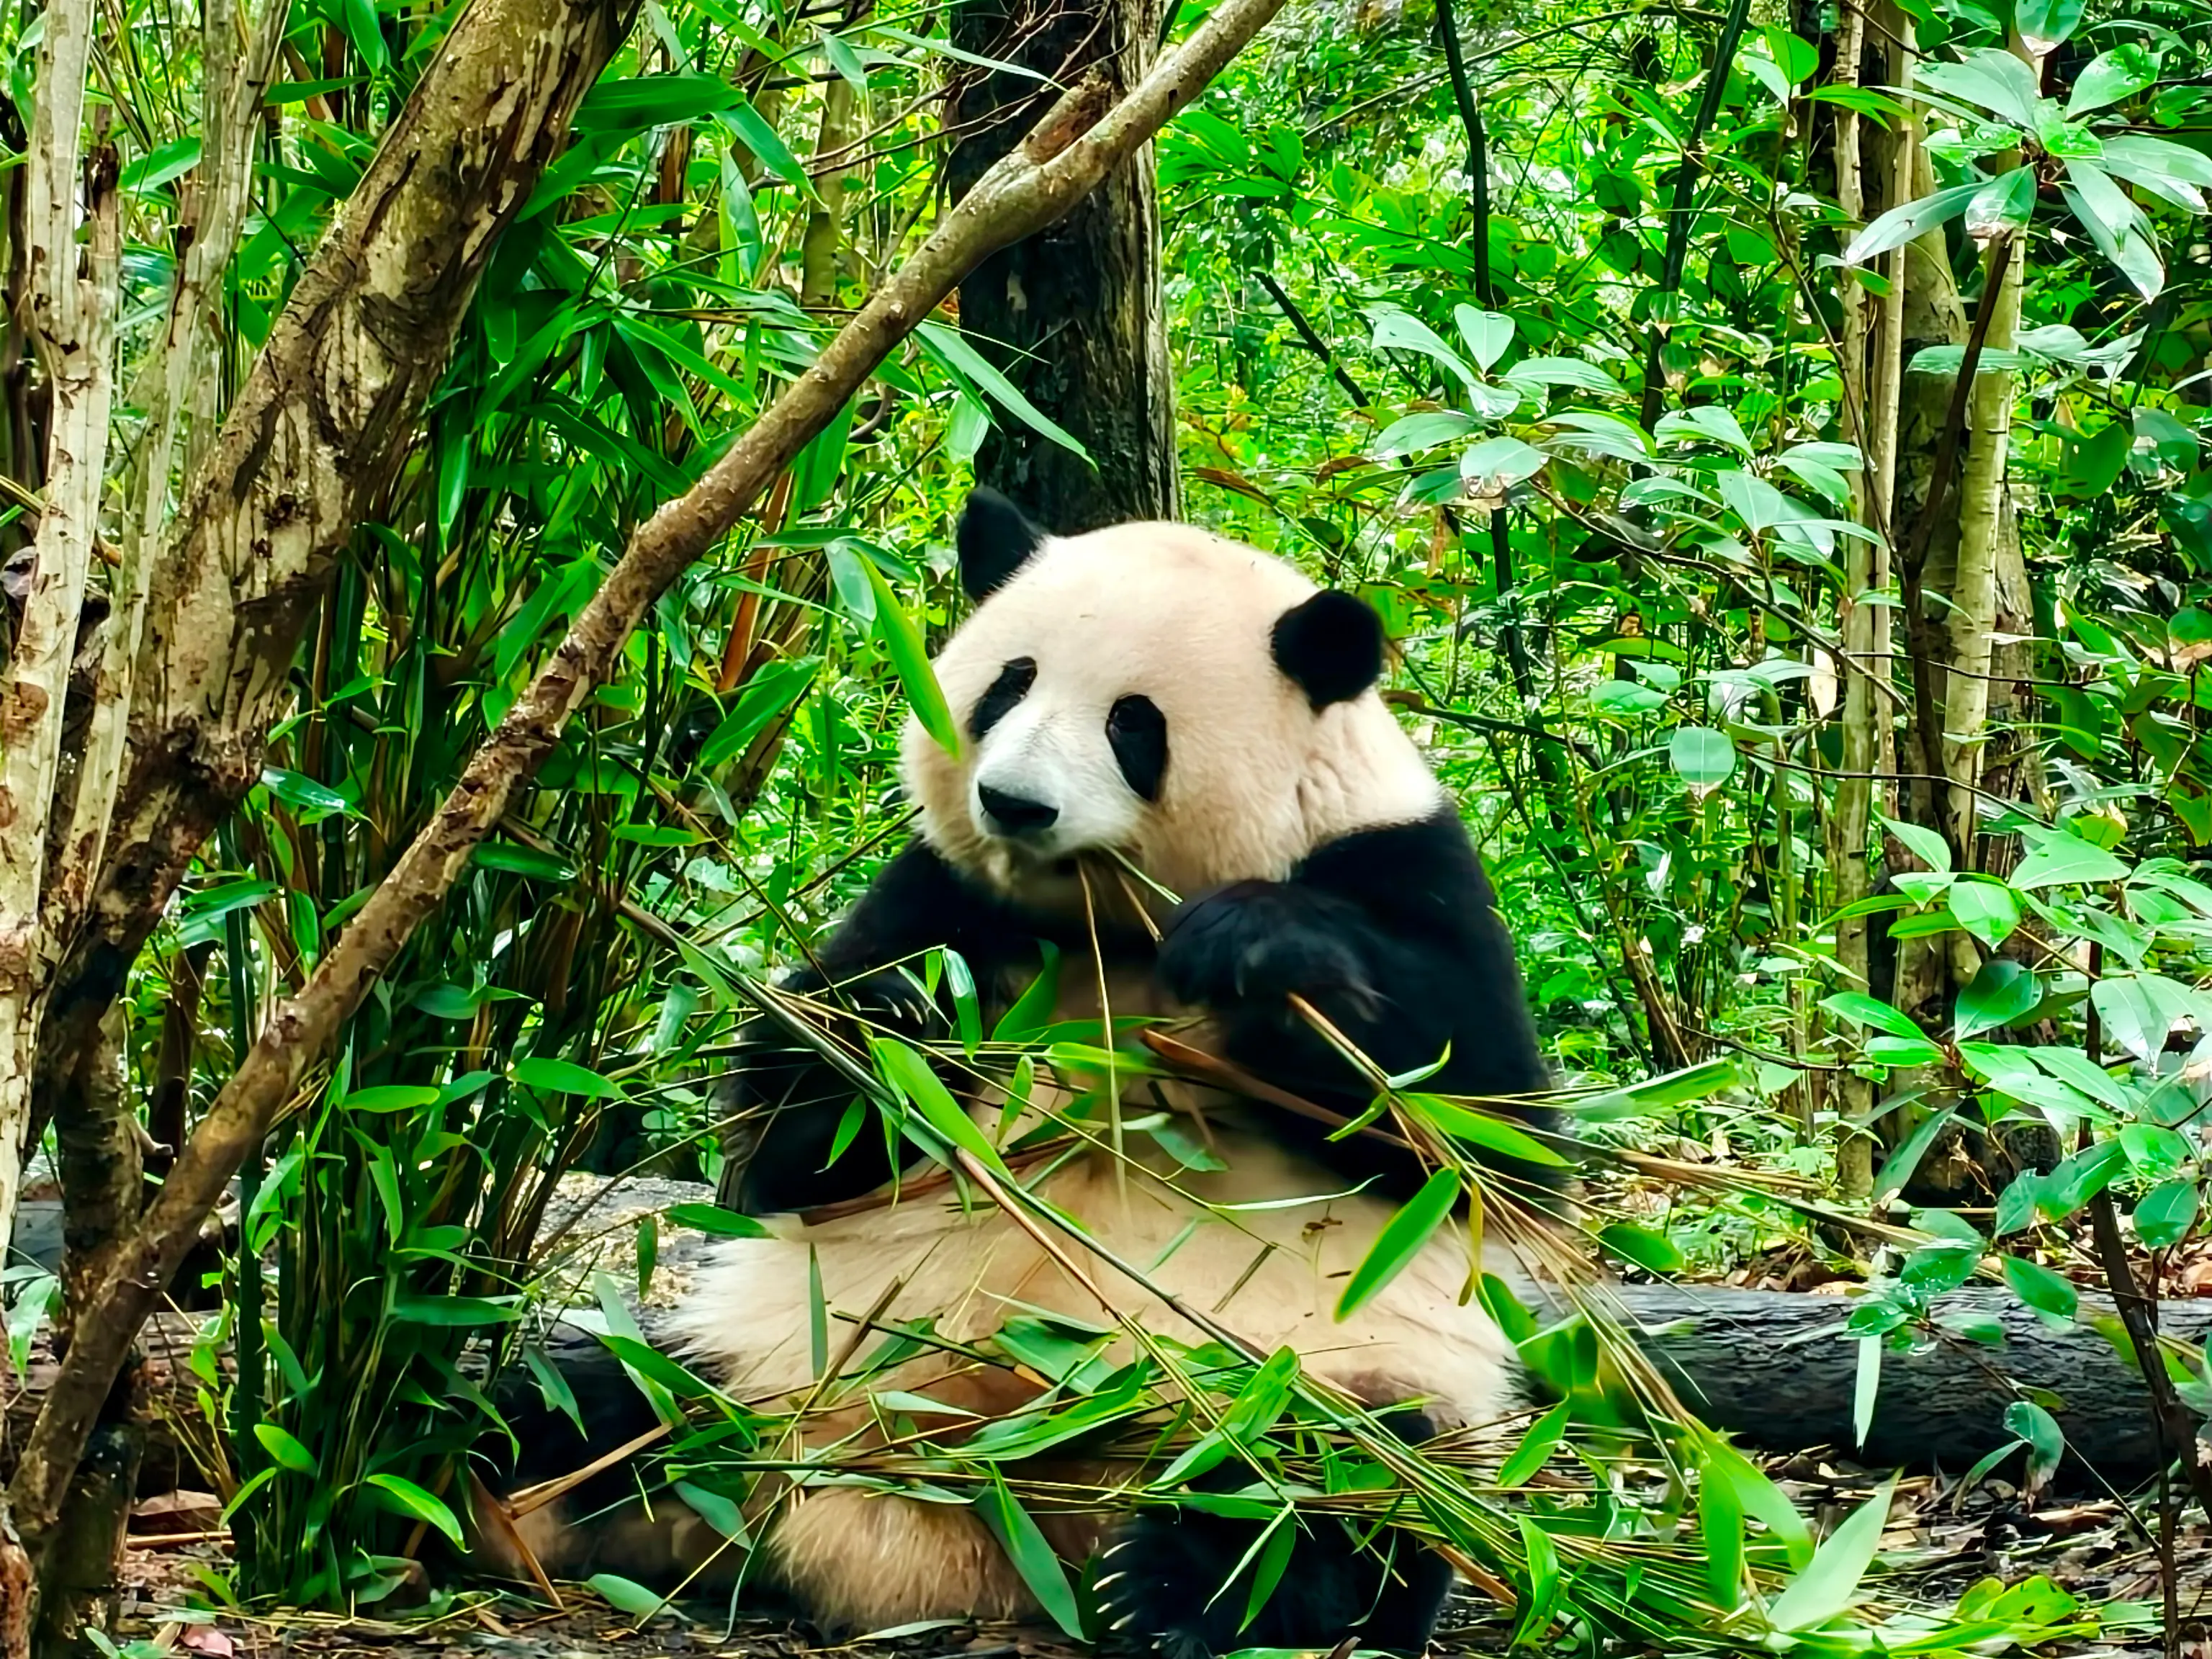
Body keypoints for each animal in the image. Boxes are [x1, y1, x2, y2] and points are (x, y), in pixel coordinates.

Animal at [479, 491, 1565, 1656]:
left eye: (1134, 724)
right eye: (1010, 682)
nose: (1013, 803)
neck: (1104, 926)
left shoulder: (1403, 865)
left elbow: (1488, 1143)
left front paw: (1256, 948)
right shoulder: (945, 897)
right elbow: (792, 1149)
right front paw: (893, 1024)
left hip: (1310, 1382)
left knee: (1345, 1492)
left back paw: (1178, 1587)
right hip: (761, 1357)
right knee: (588, 1406)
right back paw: (475, 1491)